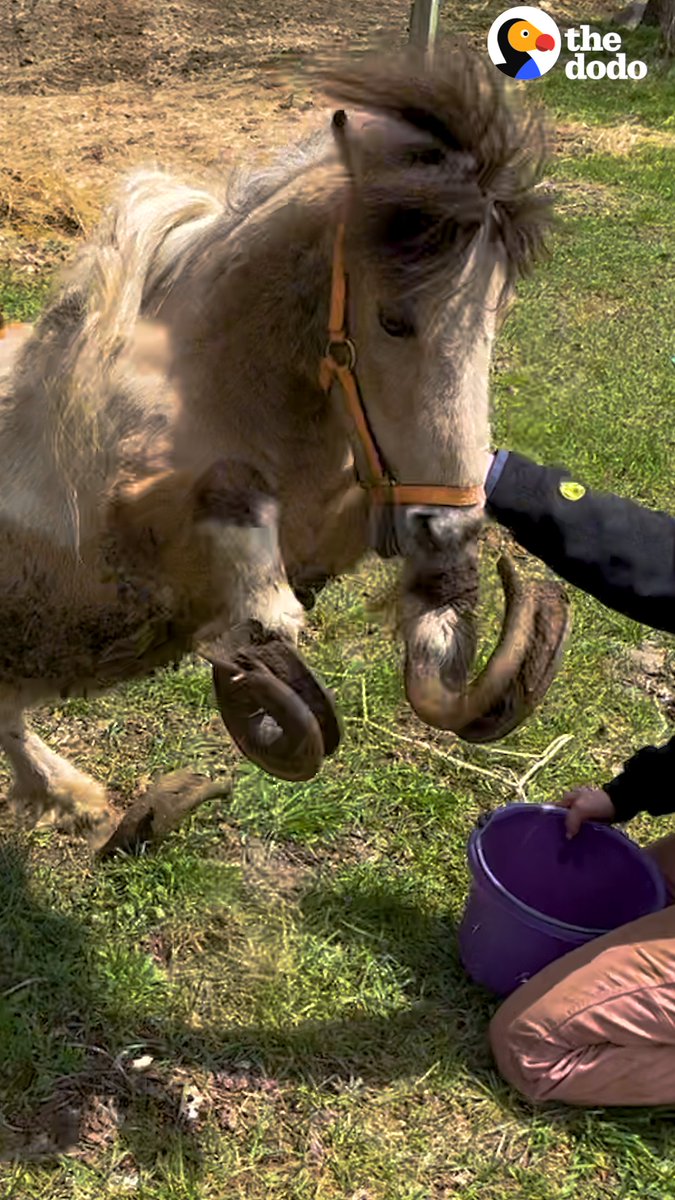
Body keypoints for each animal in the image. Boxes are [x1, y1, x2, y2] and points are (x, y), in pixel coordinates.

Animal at [0, 46, 569, 850]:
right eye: (393, 321)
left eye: (500, 311)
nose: (449, 532)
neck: (218, 389)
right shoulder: (126, 530)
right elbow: (230, 507)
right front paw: (269, 623)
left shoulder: (336, 517)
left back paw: (83, 800)